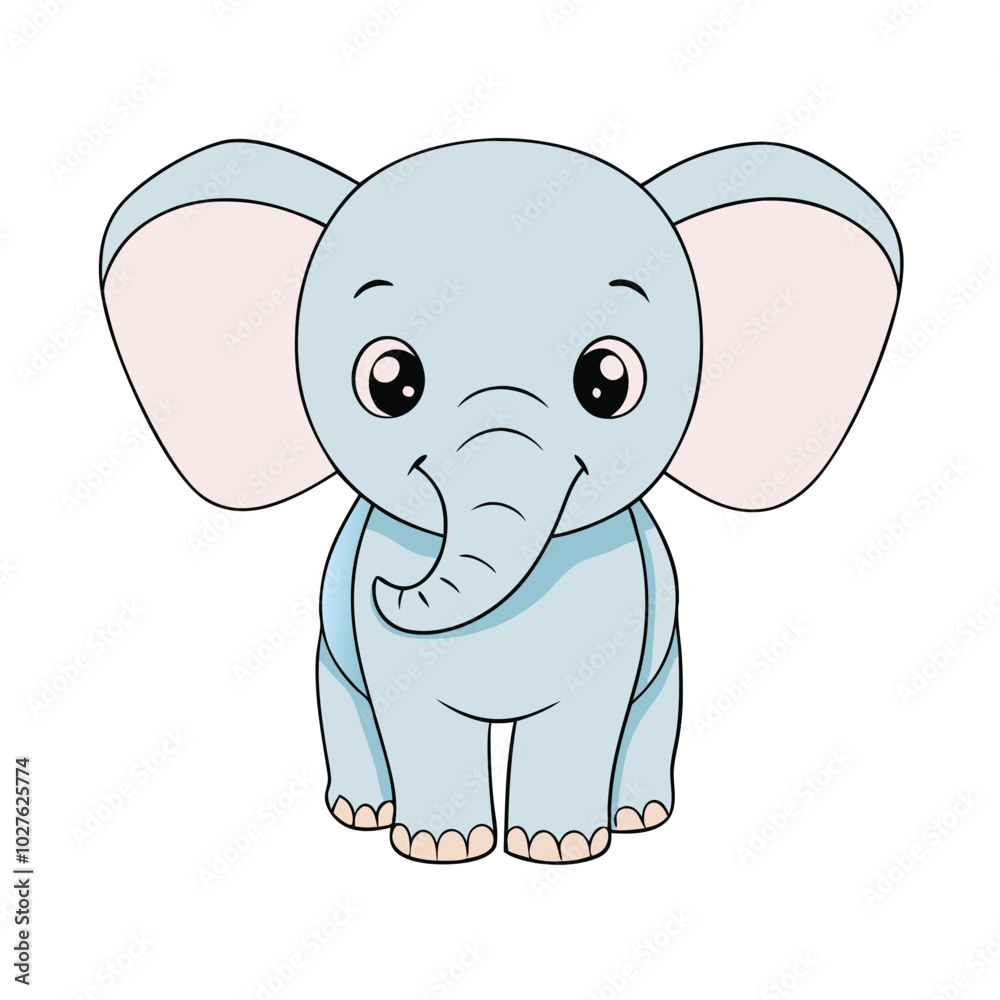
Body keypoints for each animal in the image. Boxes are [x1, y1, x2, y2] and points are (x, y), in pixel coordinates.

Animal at [100, 137, 901, 864]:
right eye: (389, 382)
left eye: (608, 382)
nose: (392, 587)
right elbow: (410, 708)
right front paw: (441, 848)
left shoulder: (620, 604)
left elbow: (588, 711)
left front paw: (558, 848)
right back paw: (361, 813)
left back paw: (640, 816)